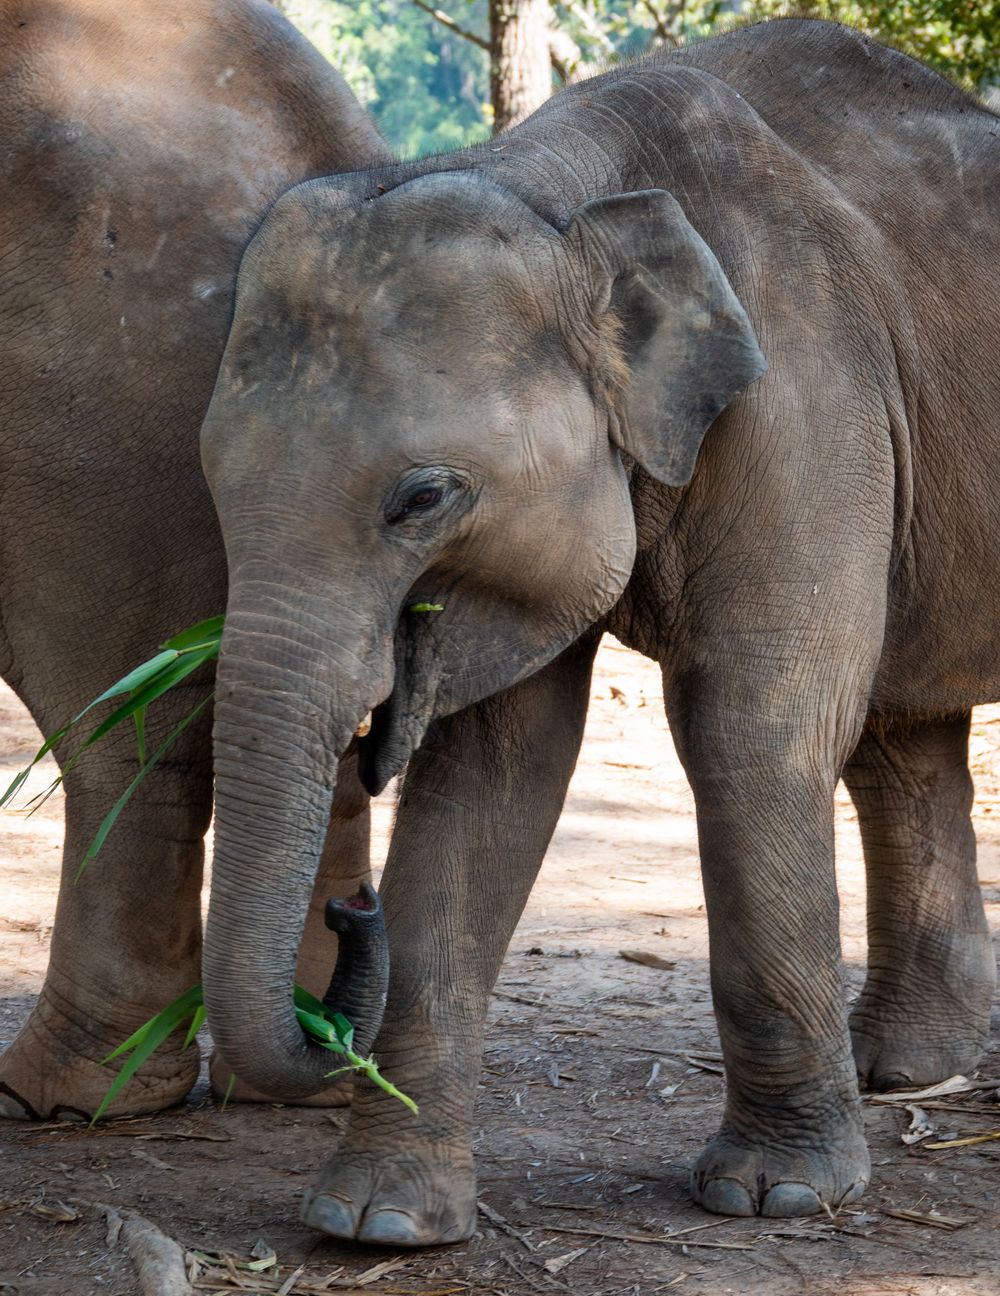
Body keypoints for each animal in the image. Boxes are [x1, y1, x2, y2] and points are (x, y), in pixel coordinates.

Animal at [199, 17, 1000, 1243]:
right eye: (212, 480)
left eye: (420, 498)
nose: (347, 903)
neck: (558, 190)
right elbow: (495, 767)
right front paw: (376, 1222)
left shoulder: (811, 392)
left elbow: (750, 732)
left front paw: (774, 1196)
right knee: (903, 737)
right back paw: (905, 1074)